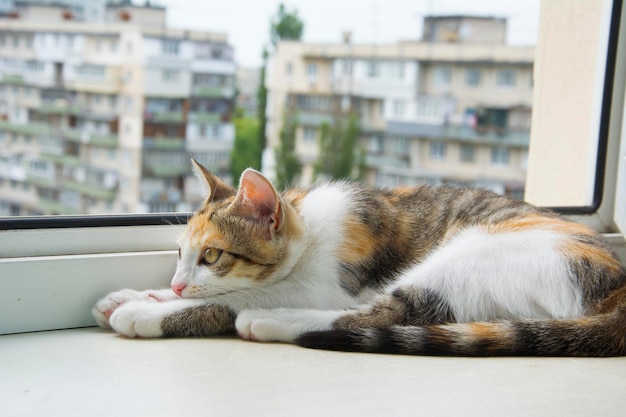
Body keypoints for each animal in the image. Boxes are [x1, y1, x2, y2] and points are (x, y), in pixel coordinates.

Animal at [92, 159, 624, 354]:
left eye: (211, 254)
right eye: (180, 254)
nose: (178, 283)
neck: (308, 229)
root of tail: (618, 282)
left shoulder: (333, 283)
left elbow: (234, 296)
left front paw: (147, 311)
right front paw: (139, 295)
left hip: (476, 252)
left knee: (382, 313)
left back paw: (274, 322)